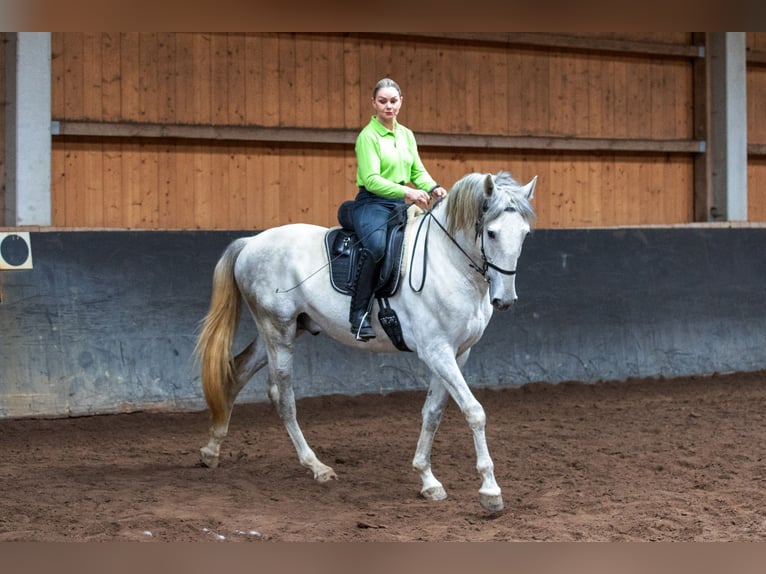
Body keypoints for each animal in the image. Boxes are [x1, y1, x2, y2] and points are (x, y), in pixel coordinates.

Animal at [195, 170, 536, 512]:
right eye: (491, 233)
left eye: (524, 235)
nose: (504, 300)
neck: (449, 264)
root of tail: (252, 242)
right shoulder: (437, 351)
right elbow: (474, 411)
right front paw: (490, 491)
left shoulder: (458, 352)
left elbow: (433, 412)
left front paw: (427, 480)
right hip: (278, 330)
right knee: (283, 396)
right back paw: (316, 466)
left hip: (284, 330)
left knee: (237, 372)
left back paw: (212, 450)